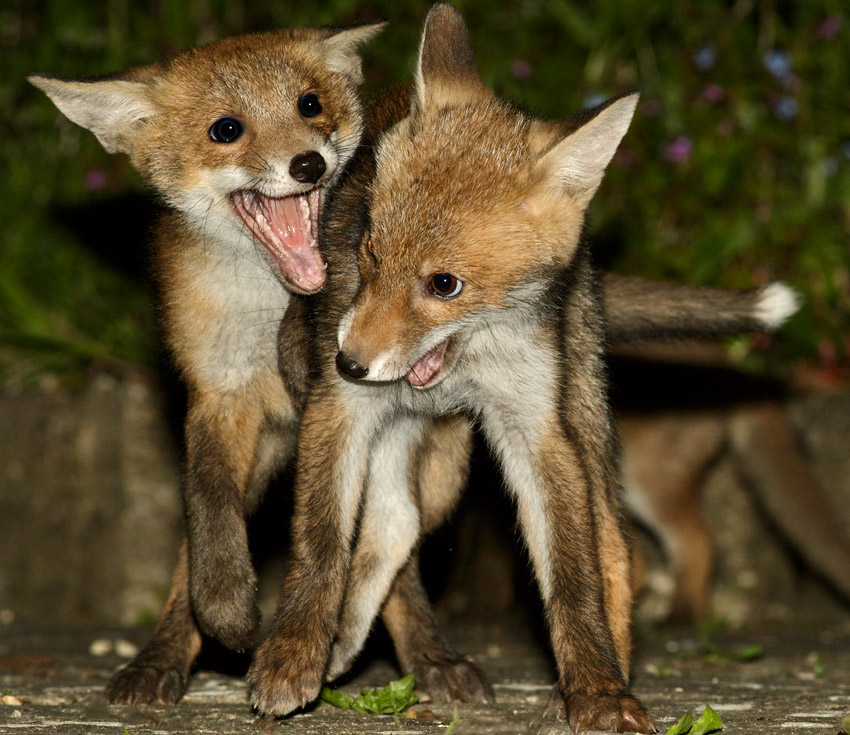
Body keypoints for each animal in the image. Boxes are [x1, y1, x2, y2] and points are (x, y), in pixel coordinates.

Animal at [30, 12, 798, 713]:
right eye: (368, 255)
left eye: (445, 285)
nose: (348, 358)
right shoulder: (291, 405)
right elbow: (298, 541)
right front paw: (286, 652)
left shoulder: (529, 423)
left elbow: (569, 573)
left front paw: (597, 688)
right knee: (345, 524)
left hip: (548, 420)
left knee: (599, 538)